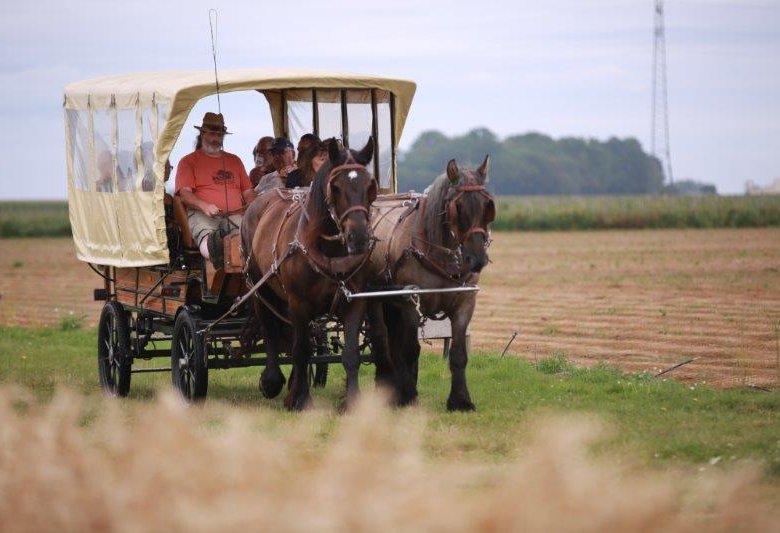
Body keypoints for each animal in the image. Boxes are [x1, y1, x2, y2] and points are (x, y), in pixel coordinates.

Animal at [242, 138, 380, 412]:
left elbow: (350, 353)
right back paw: (272, 381)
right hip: (261, 290)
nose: (359, 237)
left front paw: (352, 401)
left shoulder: (355, 300)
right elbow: (302, 350)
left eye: (370, 186)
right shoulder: (299, 302)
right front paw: (301, 399)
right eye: (336, 187)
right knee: (270, 330)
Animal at [370, 156, 494, 410]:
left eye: (488, 206)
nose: (477, 259)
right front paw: (409, 395)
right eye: (458, 207)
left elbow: (458, 354)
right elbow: (410, 350)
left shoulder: (465, 303)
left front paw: (460, 400)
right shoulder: (412, 303)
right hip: (376, 301)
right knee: (382, 340)